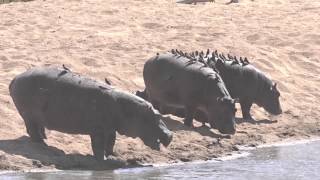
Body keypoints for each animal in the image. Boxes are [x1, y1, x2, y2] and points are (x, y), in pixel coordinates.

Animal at [9, 65, 172, 160]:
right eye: (156, 116)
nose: (170, 135)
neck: (130, 109)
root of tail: (15, 78)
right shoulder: (98, 130)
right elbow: (98, 145)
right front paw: (103, 159)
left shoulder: (110, 129)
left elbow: (111, 143)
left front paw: (113, 156)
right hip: (28, 115)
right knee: (32, 130)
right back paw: (43, 144)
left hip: (34, 116)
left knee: (37, 128)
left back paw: (45, 139)